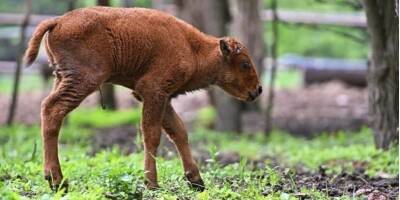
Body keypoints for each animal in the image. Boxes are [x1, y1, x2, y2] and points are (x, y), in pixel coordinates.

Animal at [25, 7, 262, 191]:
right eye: (245, 63)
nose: (258, 90)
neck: (192, 47)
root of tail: (58, 21)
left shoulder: (163, 98)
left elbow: (179, 132)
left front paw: (196, 181)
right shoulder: (152, 92)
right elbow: (152, 135)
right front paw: (152, 183)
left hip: (61, 78)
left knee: (49, 109)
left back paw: (57, 181)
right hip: (83, 81)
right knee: (52, 110)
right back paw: (57, 180)